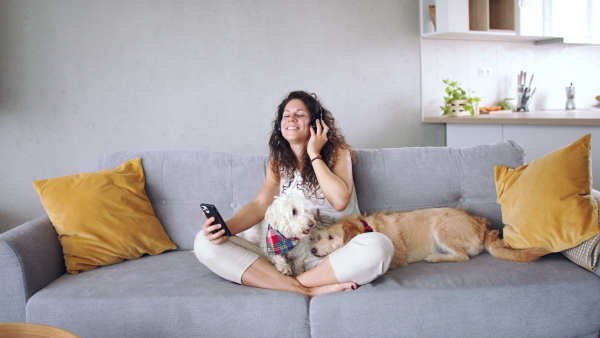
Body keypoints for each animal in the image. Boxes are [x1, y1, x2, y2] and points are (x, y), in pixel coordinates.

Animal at [312, 207, 548, 268]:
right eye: (318, 237)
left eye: (331, 237)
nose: (313, 250)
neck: (368, 228)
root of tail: (481, 226)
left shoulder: (397, 260)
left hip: (441, 226)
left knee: (462, 257)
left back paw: (435, 257)